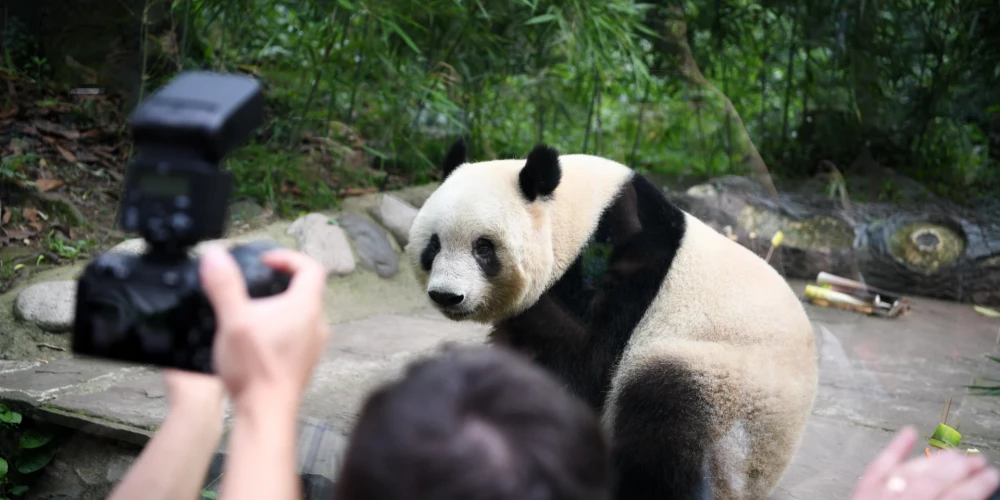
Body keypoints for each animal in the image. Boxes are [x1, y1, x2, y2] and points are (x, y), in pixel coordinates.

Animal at [402, 138, 816, 500]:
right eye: (433, 245)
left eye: (484, 248)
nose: (447, 295)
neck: (579, 216)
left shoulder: (612, 271)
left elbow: (577, 363)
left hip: (731, 386)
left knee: (668, 420)